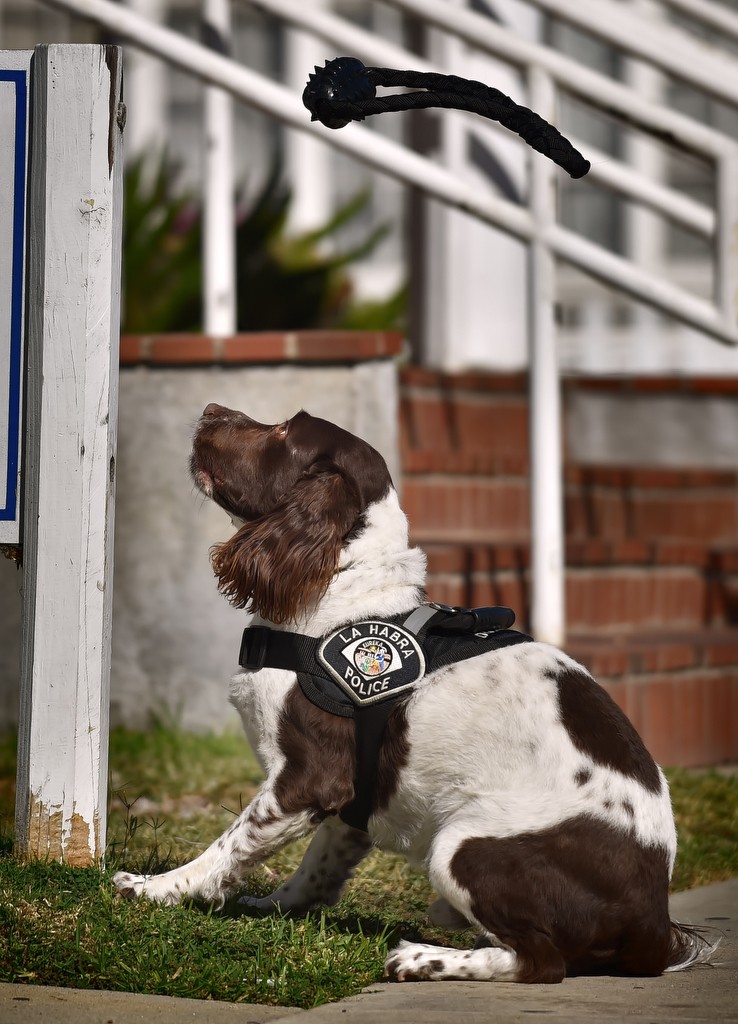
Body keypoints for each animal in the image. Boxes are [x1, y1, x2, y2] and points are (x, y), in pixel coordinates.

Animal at [115, 403, 712, 978]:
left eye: (283, 430)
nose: (211, 408)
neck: (341, 582)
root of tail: (653, 923)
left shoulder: (308, 777)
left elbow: (229, 844)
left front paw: (157, 889)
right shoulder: (355, 791)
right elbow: (317, 864)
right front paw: (273, 905)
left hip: (462, 846)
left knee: (541, 961)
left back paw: (422, 958)